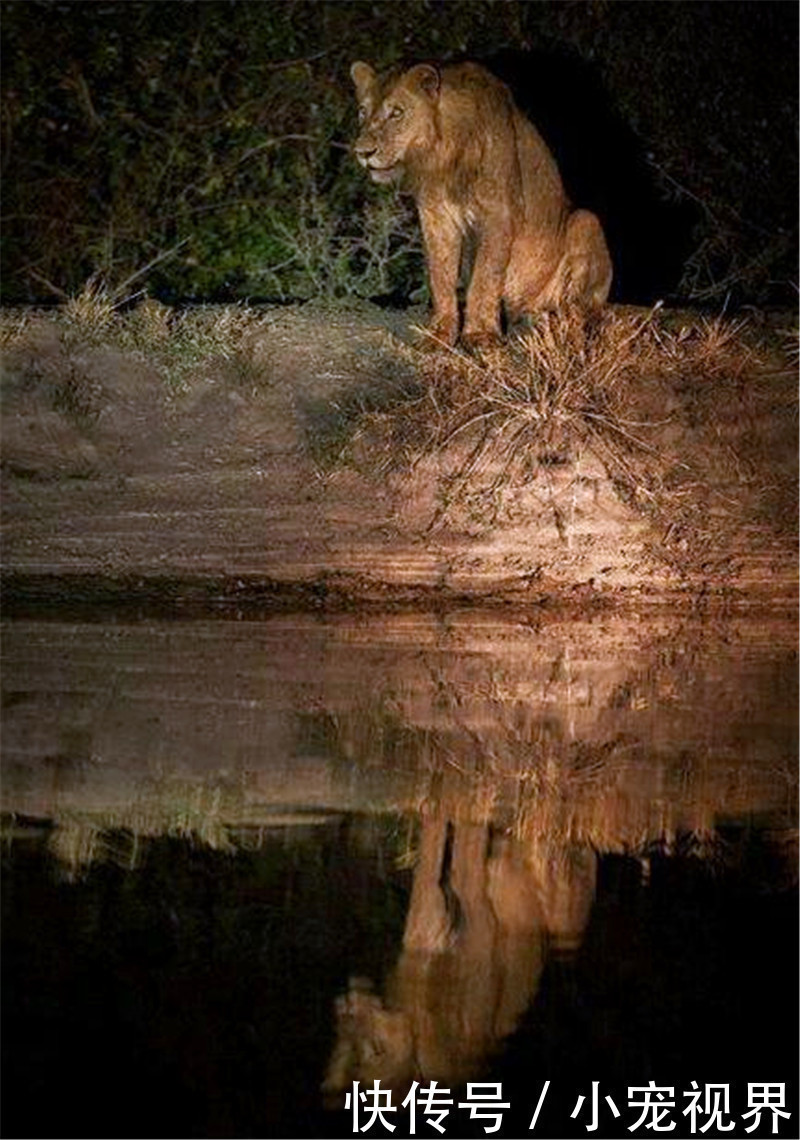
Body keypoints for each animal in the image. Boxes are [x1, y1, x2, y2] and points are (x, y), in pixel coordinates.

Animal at [350, 61, 615, 346]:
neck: (444, 154)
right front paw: (440, 332)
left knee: (585, 309)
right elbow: (440, 275)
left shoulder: (500, 213)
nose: (362, 152)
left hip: (586, 220)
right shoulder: (436, 216)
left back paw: (550, 317)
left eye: (397, 113)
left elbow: (485, 276)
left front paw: (480, 334)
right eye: (362, 112)